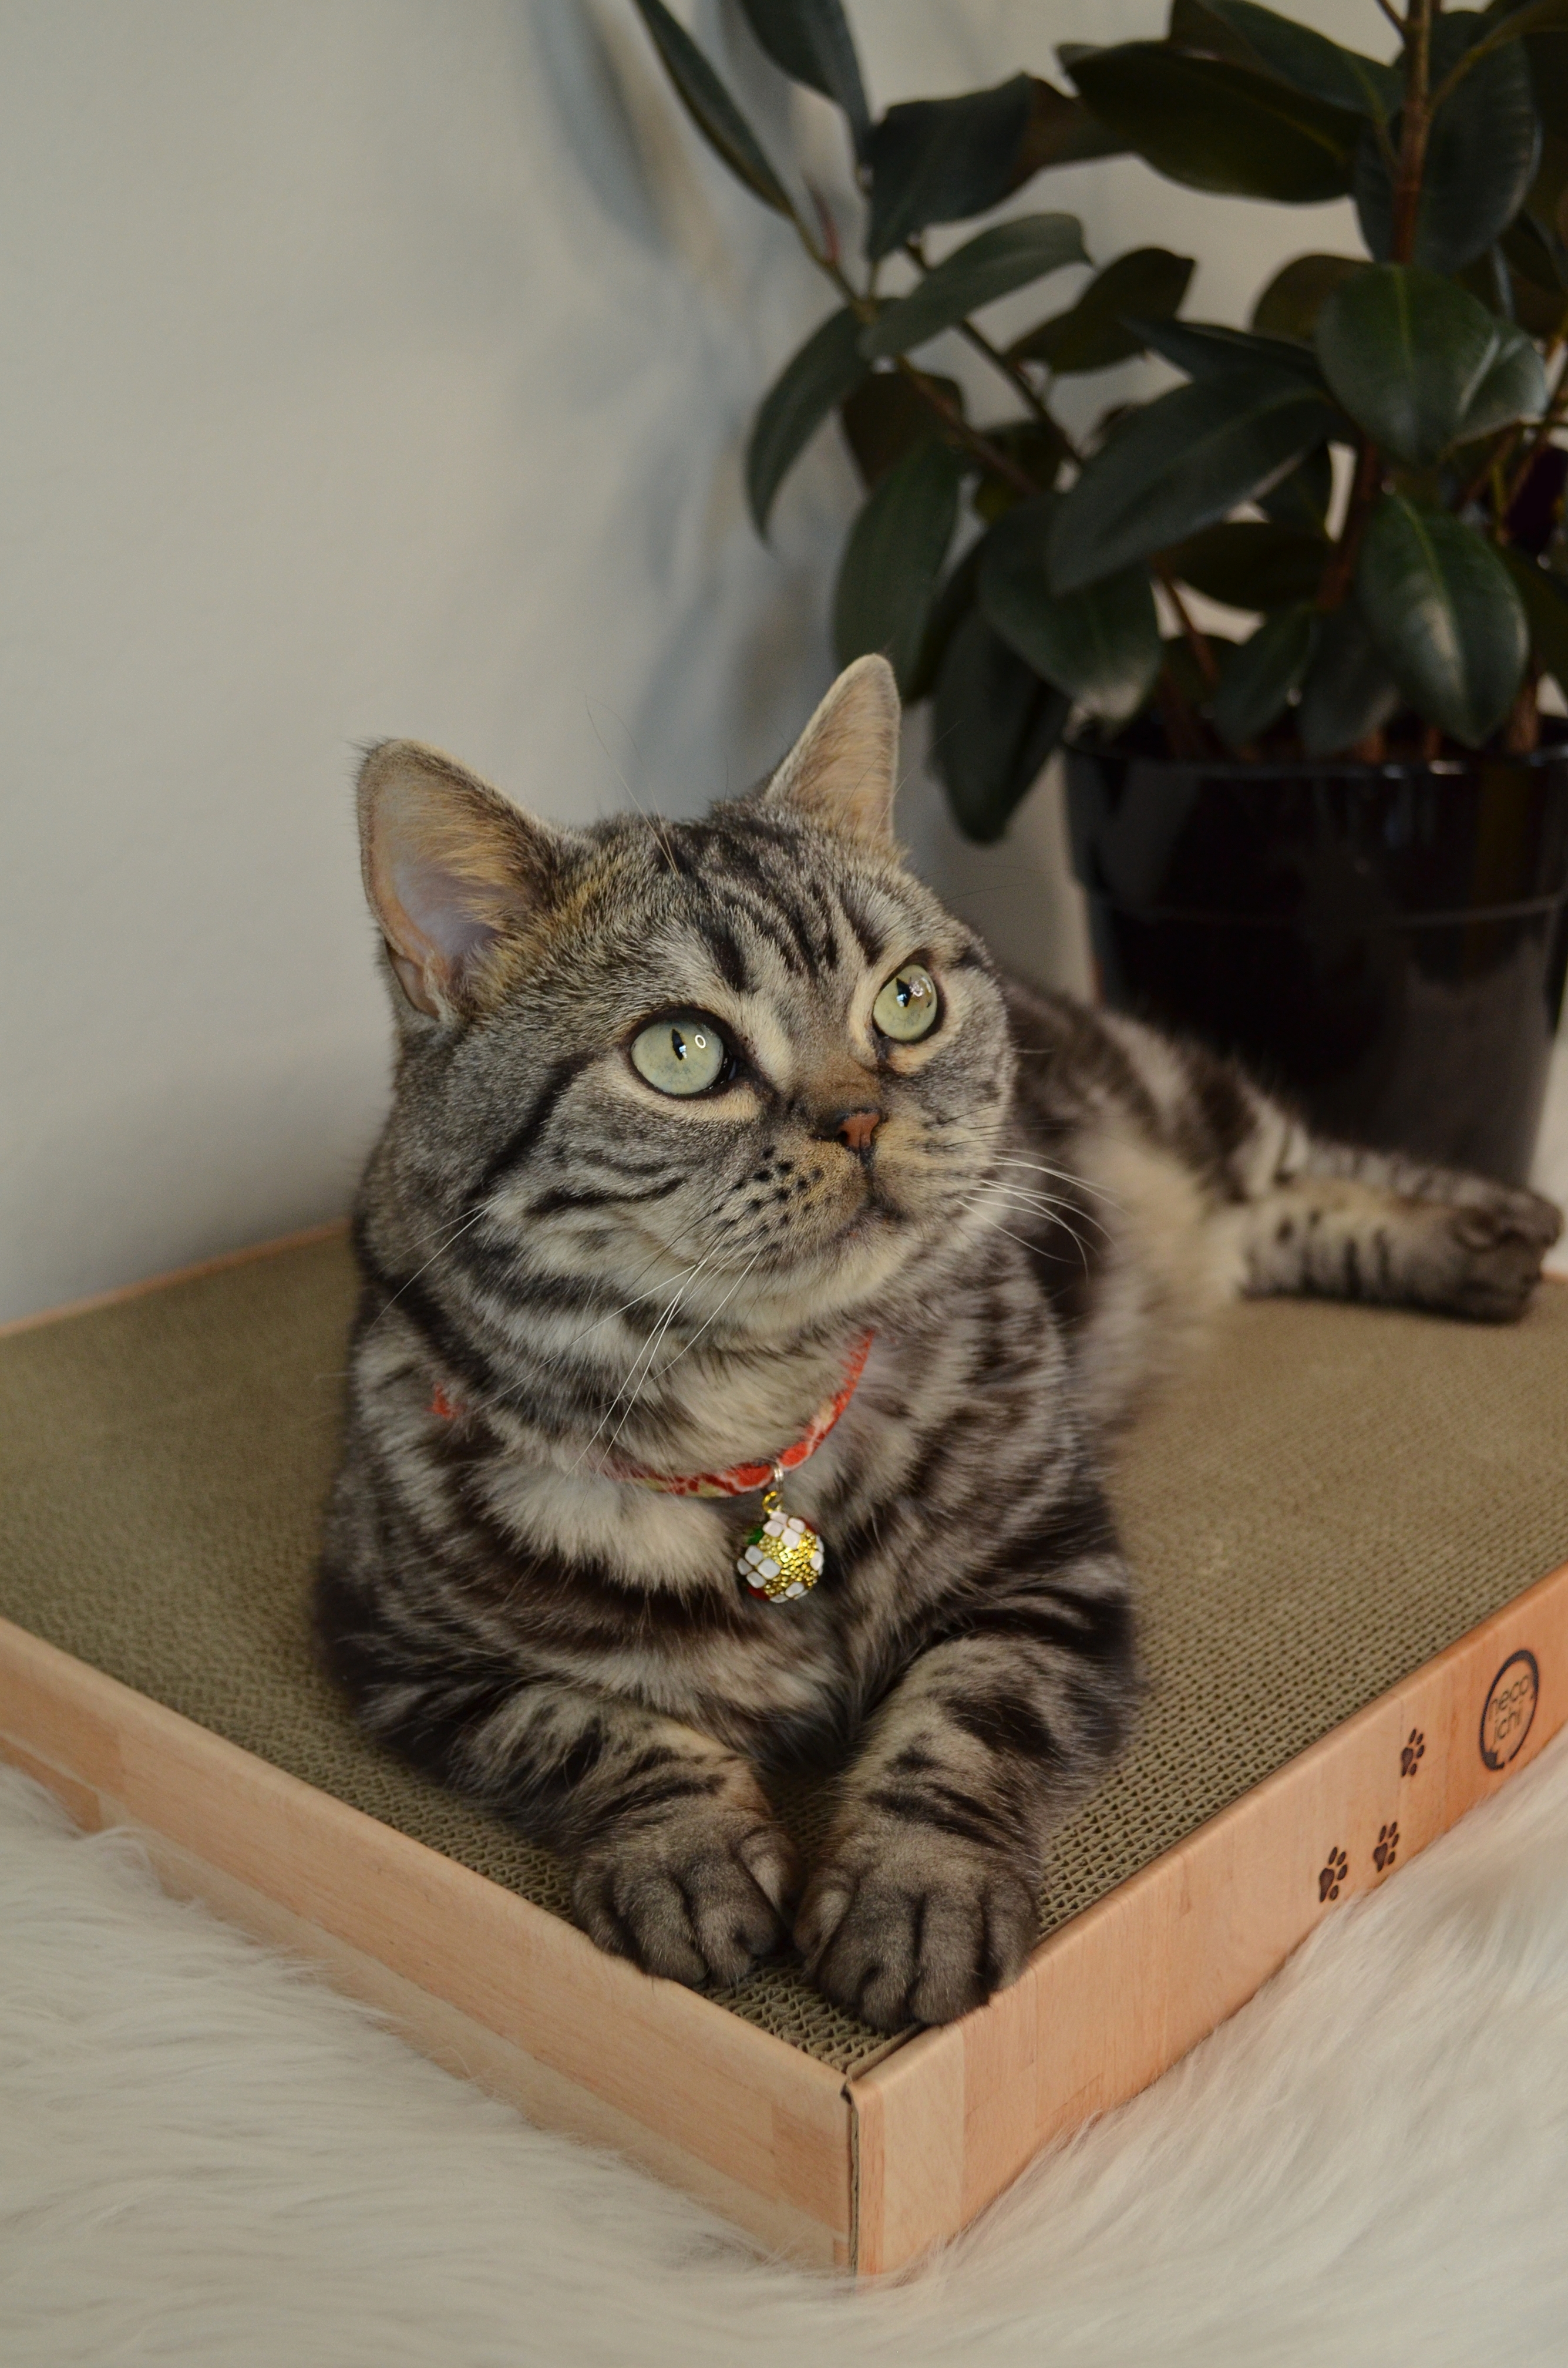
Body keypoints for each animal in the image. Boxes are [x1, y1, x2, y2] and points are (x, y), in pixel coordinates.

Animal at [312, 662, 1563, 2036]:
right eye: (680, 1052)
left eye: (906, 999)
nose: (861, 1116)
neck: (758, 1415)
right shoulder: (401, 1652)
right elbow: (591, 1725)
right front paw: (685, 1856)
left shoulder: (1044, 1566)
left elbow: (961, 1724)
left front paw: (914, 1901)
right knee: (1264, 1220)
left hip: (1181, 1094)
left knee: (1305, 1168)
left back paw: (1497, 1231)